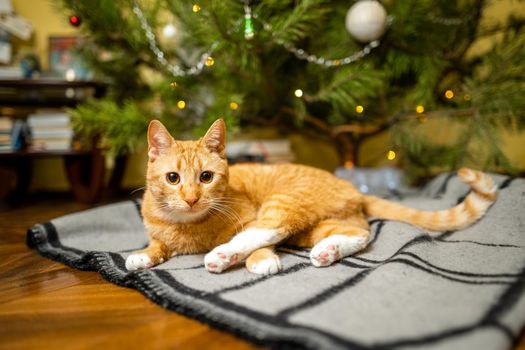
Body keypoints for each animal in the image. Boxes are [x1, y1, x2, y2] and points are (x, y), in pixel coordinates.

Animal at [125, 119, 498, 274]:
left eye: (206, 177)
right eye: (173, 179)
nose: (190, 198)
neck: (188, 227)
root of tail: (350, 186)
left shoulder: (249, 217)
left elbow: (256, 239)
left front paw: (261, 261)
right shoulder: (160, 234)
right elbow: (157, 245)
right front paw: (141, 256)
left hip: (285, 202)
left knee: (268, 230)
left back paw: (223, 255)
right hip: (315, 225)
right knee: (360, 233)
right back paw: (328, 251)